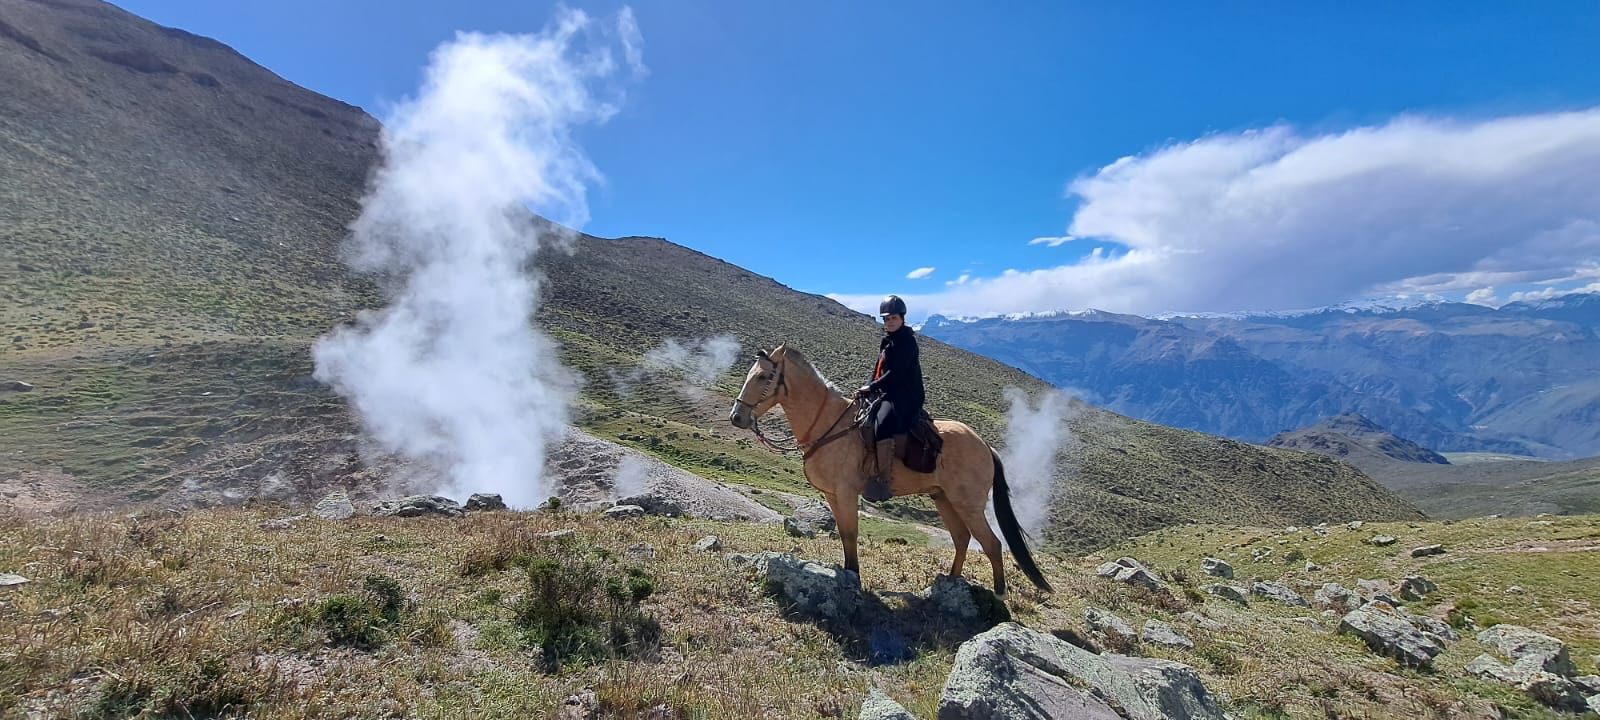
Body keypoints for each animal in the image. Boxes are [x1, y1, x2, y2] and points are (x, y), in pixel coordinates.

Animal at [728, 344, 1051, 596]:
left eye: (762, 376)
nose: (737, 417)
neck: (829, 424)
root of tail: (986, 446)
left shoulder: (846, 493)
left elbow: (850, 533)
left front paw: (854, 576)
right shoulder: (834, 495)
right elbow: (845, 534)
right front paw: (850, 572)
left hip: (968, 503)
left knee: (992, 543)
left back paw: (998, 594)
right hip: (944, 499)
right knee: (962, 539)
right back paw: (950, 582)